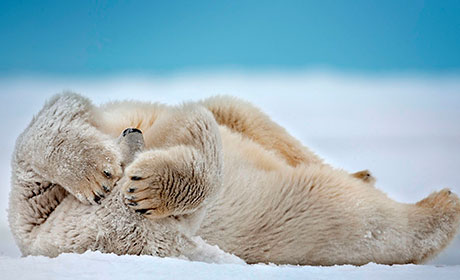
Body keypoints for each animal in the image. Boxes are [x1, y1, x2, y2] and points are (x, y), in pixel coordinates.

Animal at [7, 93, 460, 264]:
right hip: (302, 219)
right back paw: (441, 205)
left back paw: (364, 173)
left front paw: (109, 174)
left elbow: (60, 114)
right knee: (361, 219)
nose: (133, 133)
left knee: (249, 117)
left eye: (129, 158)